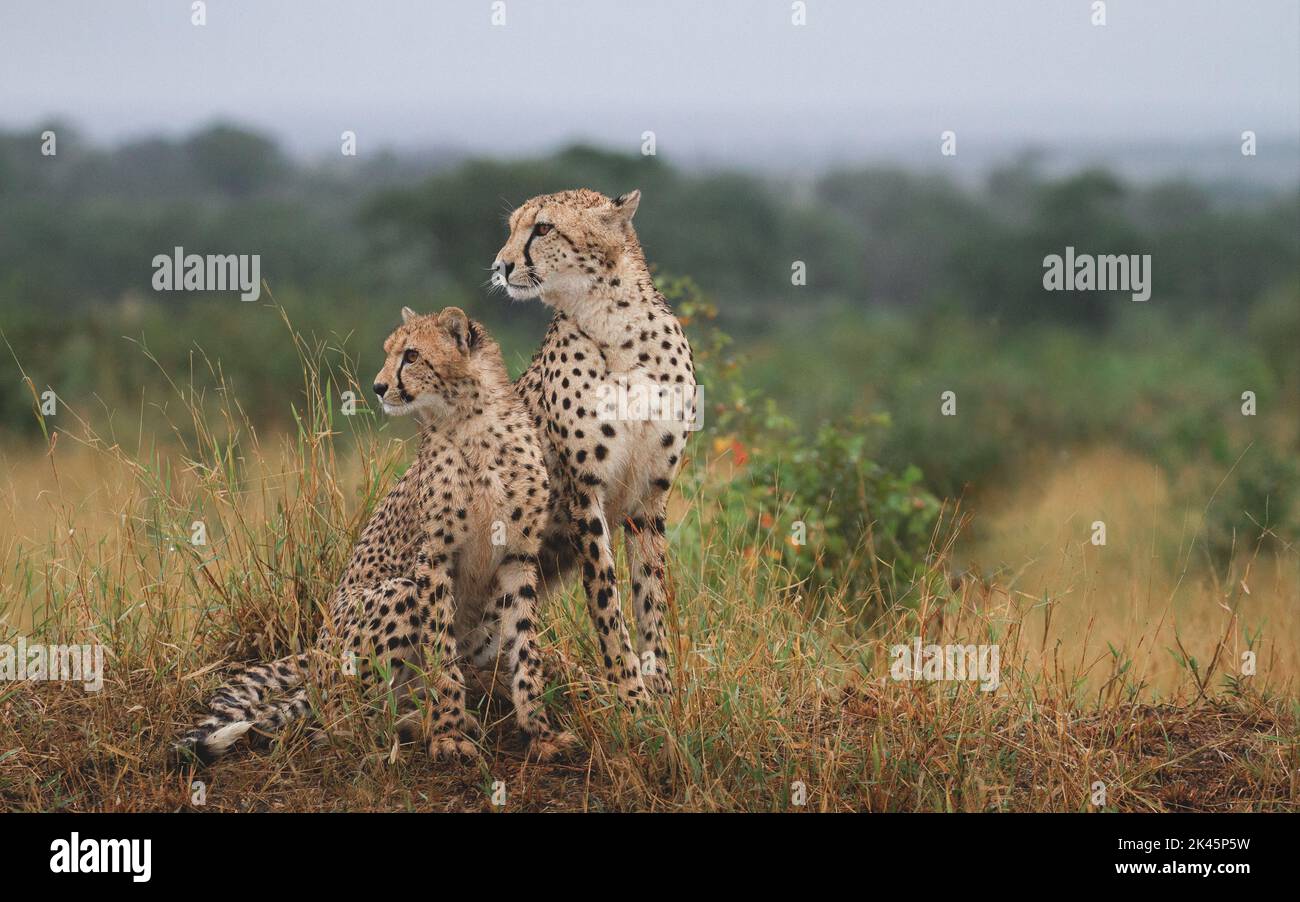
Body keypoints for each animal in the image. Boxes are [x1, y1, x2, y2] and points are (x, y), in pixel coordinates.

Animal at [175, 308, 572, 764]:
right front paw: (449, 734)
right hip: (396, 594)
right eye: (389, 352)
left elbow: (525, 650)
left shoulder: (518, 558)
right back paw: (414, 724)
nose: (379, 387)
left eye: (412, 355)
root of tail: (317, 657)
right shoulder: (433, 559)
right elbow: (442, 653)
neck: (473, 422)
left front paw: (539, 732)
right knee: (338, 721)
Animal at [491, 187, 696, 701]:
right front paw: (630, 694)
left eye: (543, 228)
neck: (616, 326)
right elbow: (606, 595)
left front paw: (662, 691)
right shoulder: (585, 492)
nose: (500, 265)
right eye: (512, 227)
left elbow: (650, 594)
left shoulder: (650, 497)